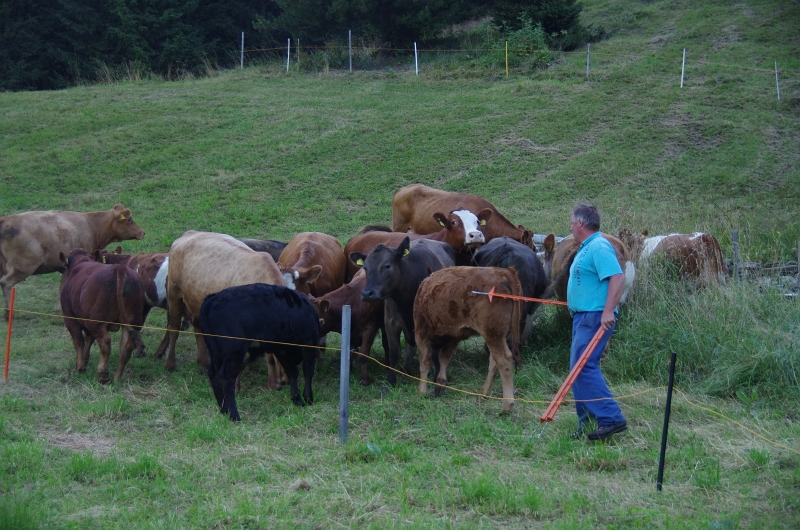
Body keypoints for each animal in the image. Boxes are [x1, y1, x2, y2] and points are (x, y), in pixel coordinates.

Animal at [0, 203, 145, 318]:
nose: (143, 232)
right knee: (6, 283)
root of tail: (7, 219)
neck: (91, 226)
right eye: (130, 220)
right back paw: (8, 313)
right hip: (23, 267)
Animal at [58, 248, 146, 384]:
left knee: (105, 342)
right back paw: (116, 378)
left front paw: (80, 367)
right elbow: (88, 340)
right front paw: (84, 361)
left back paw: (103, 374)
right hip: (133, 321)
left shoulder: (70, 318)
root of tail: (119, 268)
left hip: (97, 322)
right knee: (126, 346)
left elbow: (79, 341)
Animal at [159, 228, 290, 388]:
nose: (286, 380)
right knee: (174, 329)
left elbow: (268, 356)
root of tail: (190, 233)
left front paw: (272, 384)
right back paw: (170, 363)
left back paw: (204, 361)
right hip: (174, 294)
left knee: (198, 329)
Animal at [412, 266, 524, 410]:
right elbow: (444, 358)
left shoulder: (420, 332)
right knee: (494, 362)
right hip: (498, 336)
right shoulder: (453, 336)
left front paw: (421, 391)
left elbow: (425, 361)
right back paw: (482, 395)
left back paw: (507, 406)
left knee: (504, 360)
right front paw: (440, 385)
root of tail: (504, 272)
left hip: (493, 335)